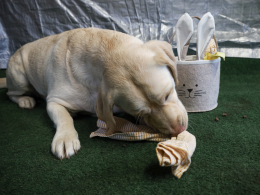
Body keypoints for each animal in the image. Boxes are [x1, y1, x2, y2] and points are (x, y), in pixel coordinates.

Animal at [0, 28, 187, 159]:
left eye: (167, 95)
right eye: (141, 113)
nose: (177, 131)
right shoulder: (54, 100)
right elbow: (64, 117)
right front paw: (65, 138)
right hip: (19, 77)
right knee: (11, 93)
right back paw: (25, 100)